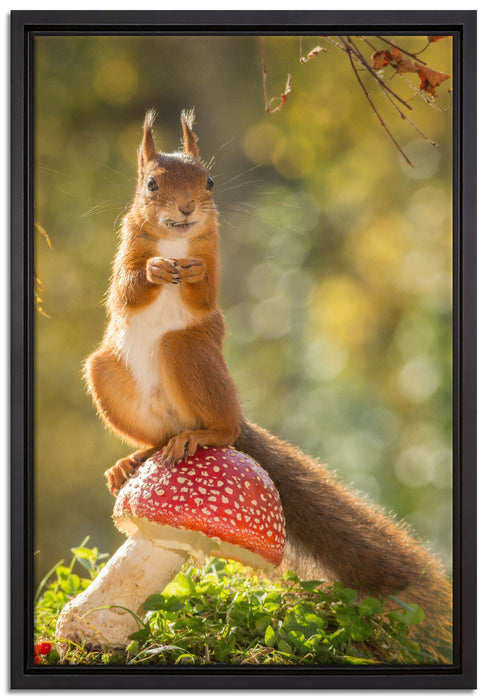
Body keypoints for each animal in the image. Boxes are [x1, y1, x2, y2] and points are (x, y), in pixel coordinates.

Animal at [84, 109, 452, 662]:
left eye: (209, 182)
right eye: (151, 184)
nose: (187, 209)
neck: (175, 242)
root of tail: (187, 423)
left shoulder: (212, 256)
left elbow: (205, 289)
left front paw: (190, 272)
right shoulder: (126, 251)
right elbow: (127, 287)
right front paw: (154, 270)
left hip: (190, 353)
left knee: (222, 425)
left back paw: (204, 435)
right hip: (105, 371)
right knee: (154, 439)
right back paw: (133, 459)